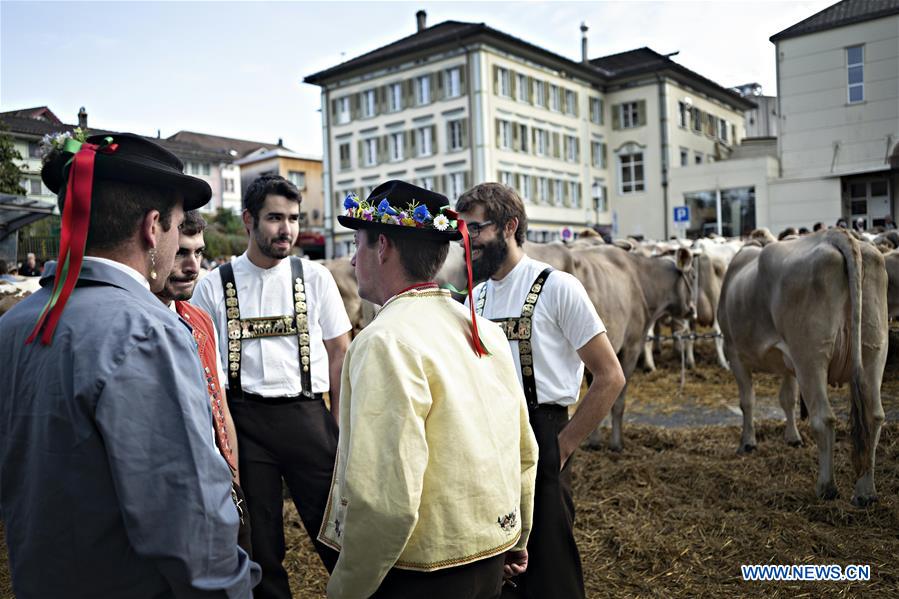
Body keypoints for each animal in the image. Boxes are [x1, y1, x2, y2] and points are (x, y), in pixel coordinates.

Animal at [716, 230, 884, 506]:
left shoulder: (735, 354)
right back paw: (865, 492)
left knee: (824, 418)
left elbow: (747, 401)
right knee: (874, 416)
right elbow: (787, 399)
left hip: (810, 356)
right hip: (874, 350)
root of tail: (835, 235)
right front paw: (793, 437)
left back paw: (826, 487)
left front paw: (748, 442)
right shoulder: (789, 363)